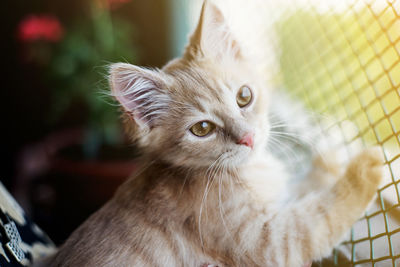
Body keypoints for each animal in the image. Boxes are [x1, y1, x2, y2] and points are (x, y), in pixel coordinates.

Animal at [39, 1, 382, 266]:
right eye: (202, 129)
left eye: (244, 97)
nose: (248, 138)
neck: (248, 172)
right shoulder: (269, 242)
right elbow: (322, 214)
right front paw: (363, 170)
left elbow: (302, 188)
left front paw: (329, 161)